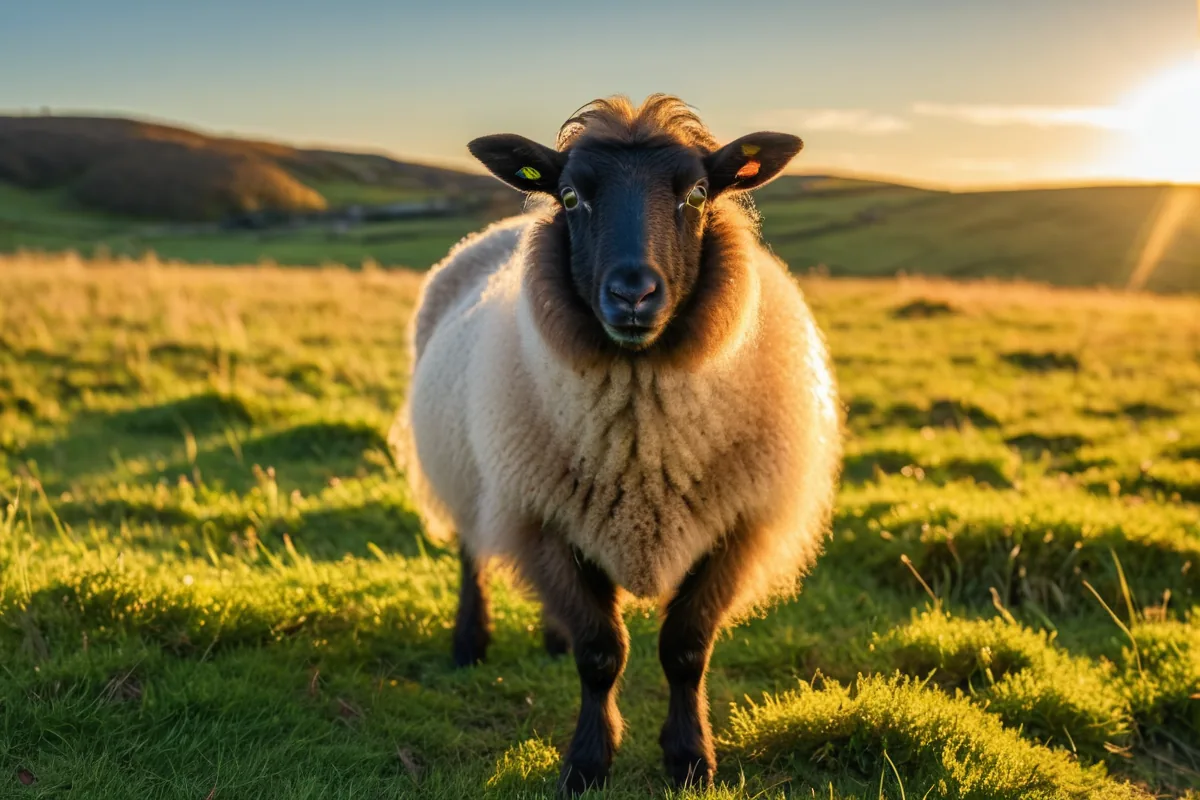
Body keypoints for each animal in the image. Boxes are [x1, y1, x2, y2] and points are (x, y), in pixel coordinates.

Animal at [391, 94, 843, 795]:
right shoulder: (543, 520)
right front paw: (587, 762)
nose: (633, 293)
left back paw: (548, 638)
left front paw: (690, 759)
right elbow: (601, 651)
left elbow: (685, 648)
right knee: (472, 555)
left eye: (698, 192)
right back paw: (470, 642)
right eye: (572, 196)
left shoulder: (737, 527)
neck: (644, 439)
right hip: (470, 475)